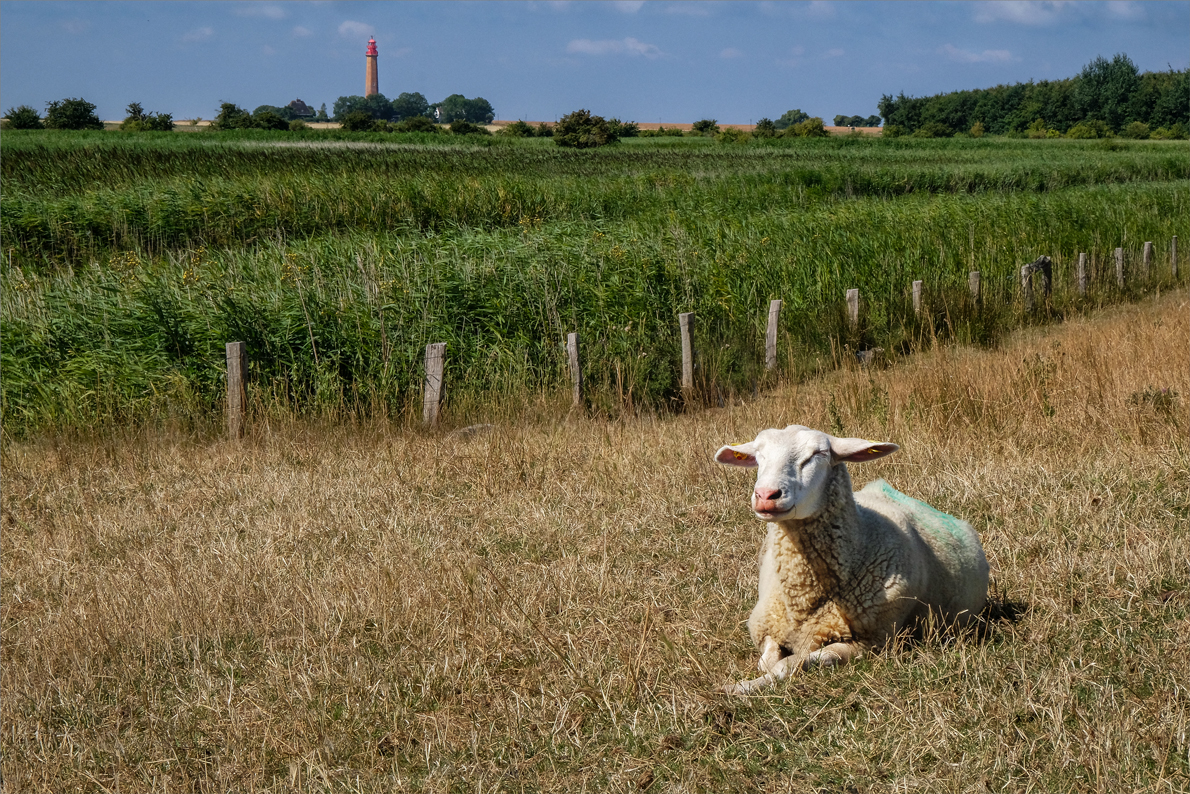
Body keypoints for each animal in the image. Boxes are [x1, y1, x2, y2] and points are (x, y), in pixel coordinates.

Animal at [709, 426, 990, 690]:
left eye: (818, 454)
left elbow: (786, 666)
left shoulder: (871, 642)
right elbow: (765, 661)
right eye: (759, 455)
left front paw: (739, 688)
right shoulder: (767, 626)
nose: (766, 495)